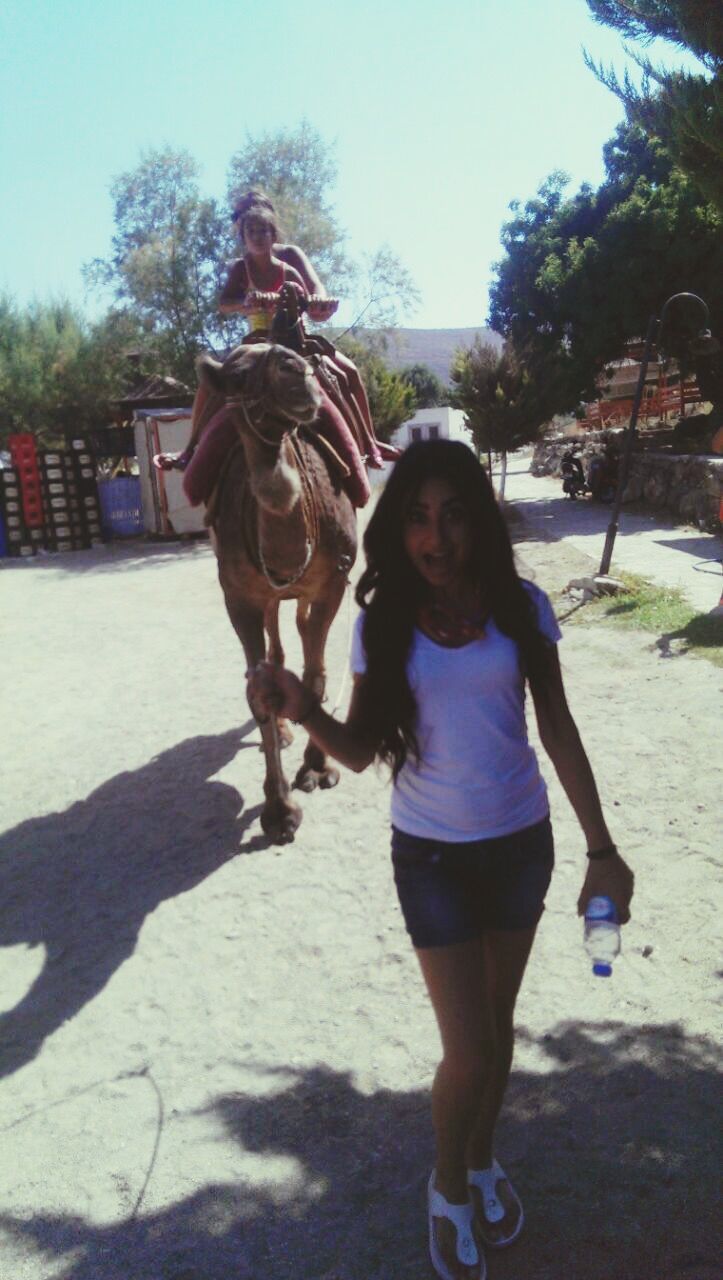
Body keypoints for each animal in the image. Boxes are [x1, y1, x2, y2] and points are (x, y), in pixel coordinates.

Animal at [195, 340, 355, 844]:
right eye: (237, 375)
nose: (296, 369)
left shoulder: (332, 583)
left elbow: (316, 674)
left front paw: (317, 769)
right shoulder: (239, 597)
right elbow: (259, 690)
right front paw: (279, 811)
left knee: (299, 634)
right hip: (264, 598)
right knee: (277, 649)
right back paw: (284, 731)